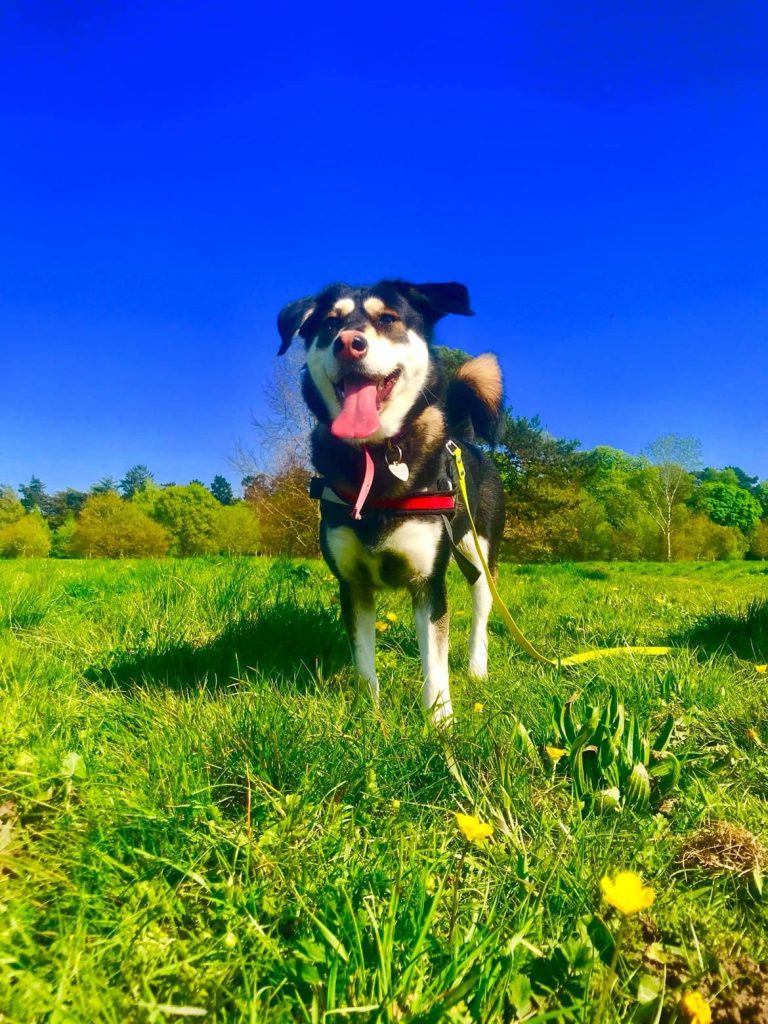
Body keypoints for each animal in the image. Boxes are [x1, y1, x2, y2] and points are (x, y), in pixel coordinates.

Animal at [276, 276, 505, 716]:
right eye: (329, 323)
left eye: (387, 318)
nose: (349, 343)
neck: (376, 456)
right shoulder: (352, 584)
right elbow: (364, 657)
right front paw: (368, 712)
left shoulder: (429, 583)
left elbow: (435, 664)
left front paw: (440, 720)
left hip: (479, 552)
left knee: (480, 612)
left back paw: (477, 668)